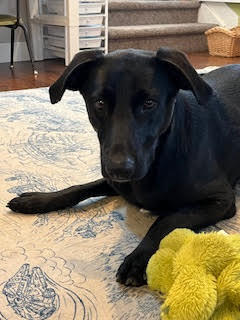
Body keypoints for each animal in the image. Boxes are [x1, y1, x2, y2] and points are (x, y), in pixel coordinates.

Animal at [6, 47, 239, 288]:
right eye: (99, 103)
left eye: (149, 104)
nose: (120, 169)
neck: (160, 154)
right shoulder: (113, 181)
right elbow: (78, 188)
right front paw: (37, 199)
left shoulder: (220, 200)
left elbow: (167, 220)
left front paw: (139, 258)